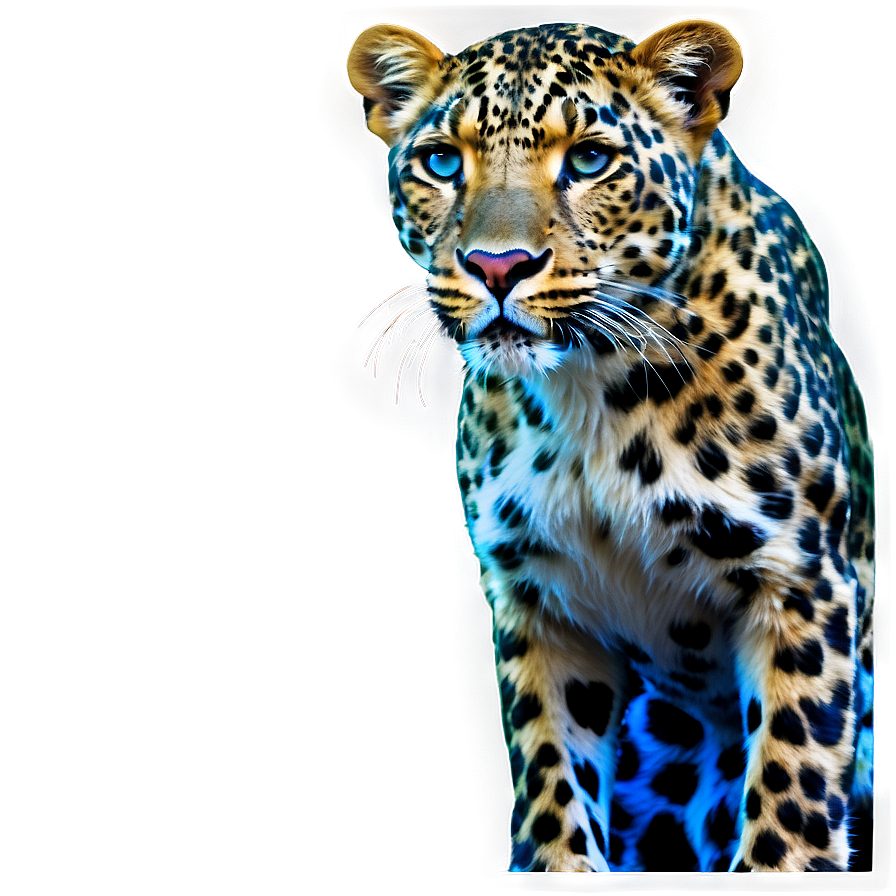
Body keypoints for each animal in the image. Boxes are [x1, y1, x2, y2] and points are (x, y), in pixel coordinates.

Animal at [347, 17, 873, 872]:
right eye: (443, 161)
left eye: (590, 159)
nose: (497, 267)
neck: (592, 397)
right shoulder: (541, 601)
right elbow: (552, 793)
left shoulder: (799, 580)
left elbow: (789, 799)